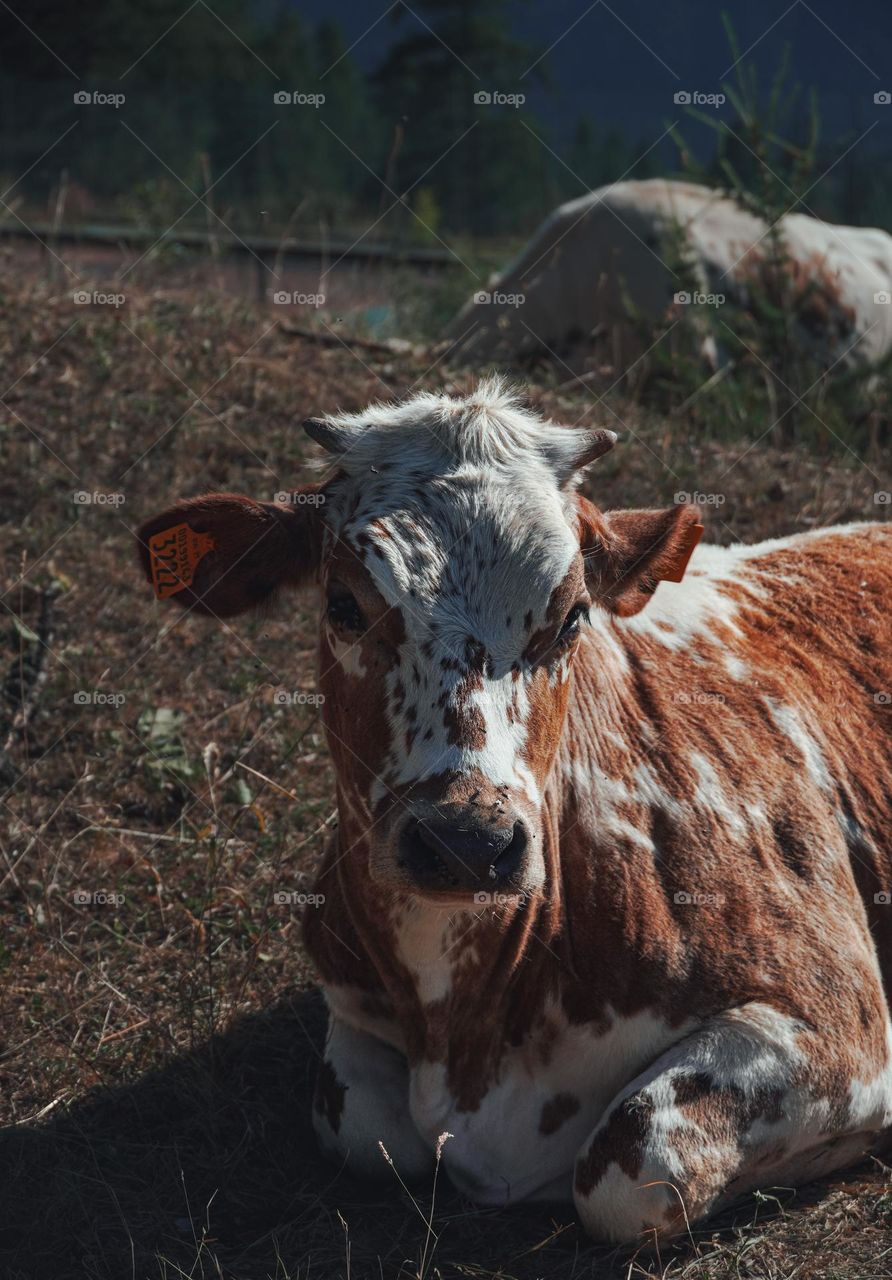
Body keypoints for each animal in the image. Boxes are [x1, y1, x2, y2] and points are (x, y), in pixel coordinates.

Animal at [136, 378, 892, 1246]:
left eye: (572, 617)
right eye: (344, 603)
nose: (466, 841)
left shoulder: (838, 1023)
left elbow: (633, 1166)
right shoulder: (347, 995)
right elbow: (362, 1129)